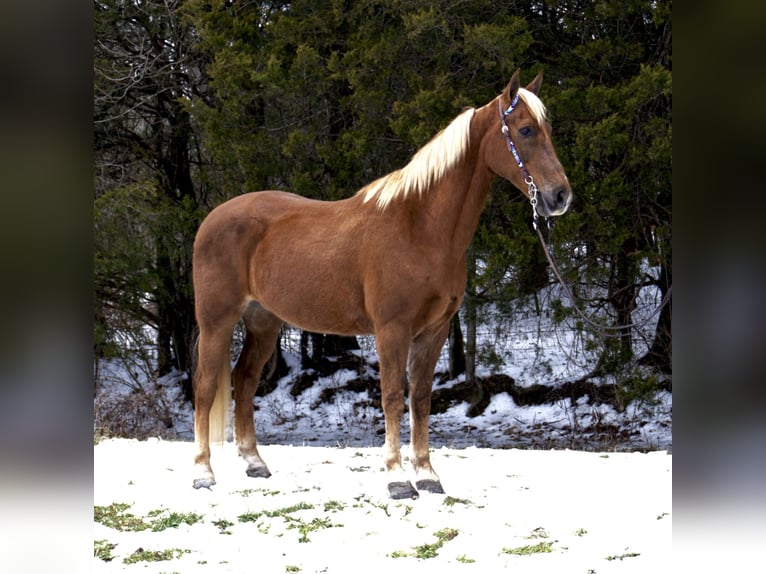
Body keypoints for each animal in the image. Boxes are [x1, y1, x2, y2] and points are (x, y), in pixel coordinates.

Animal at [191, 69, 572, 499]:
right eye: (525, 130)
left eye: (547, 129)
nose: (560, 196)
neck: (419, 227)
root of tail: (213, 219)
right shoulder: (392, 330)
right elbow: (391, 396)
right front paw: (397, 478)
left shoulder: (434, 332)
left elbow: (420, 398)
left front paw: (427, 474)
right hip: (217, 321)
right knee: (205, 386)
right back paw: (203, 472)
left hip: (263, 323)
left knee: (244, 380)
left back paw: (255, 462)